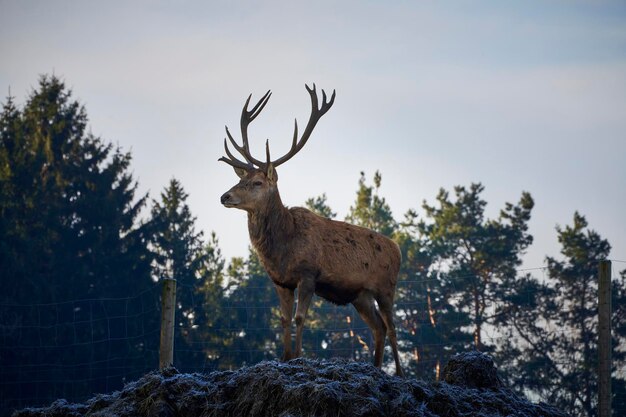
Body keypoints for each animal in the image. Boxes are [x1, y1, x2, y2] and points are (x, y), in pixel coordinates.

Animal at [218, 85, 404, 376]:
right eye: (240, 179)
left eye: (258, 182)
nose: (225, 196)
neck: (283, 246)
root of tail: (397, 249)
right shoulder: (280, 281)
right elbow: (283, 319)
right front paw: (284, 358)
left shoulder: (308, 275)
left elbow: (299, 317)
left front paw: (298, 357)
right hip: (360, 296)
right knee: (379, 328)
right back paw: (374, 368)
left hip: (386, 287)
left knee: (393, 327)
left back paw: (399, 372)